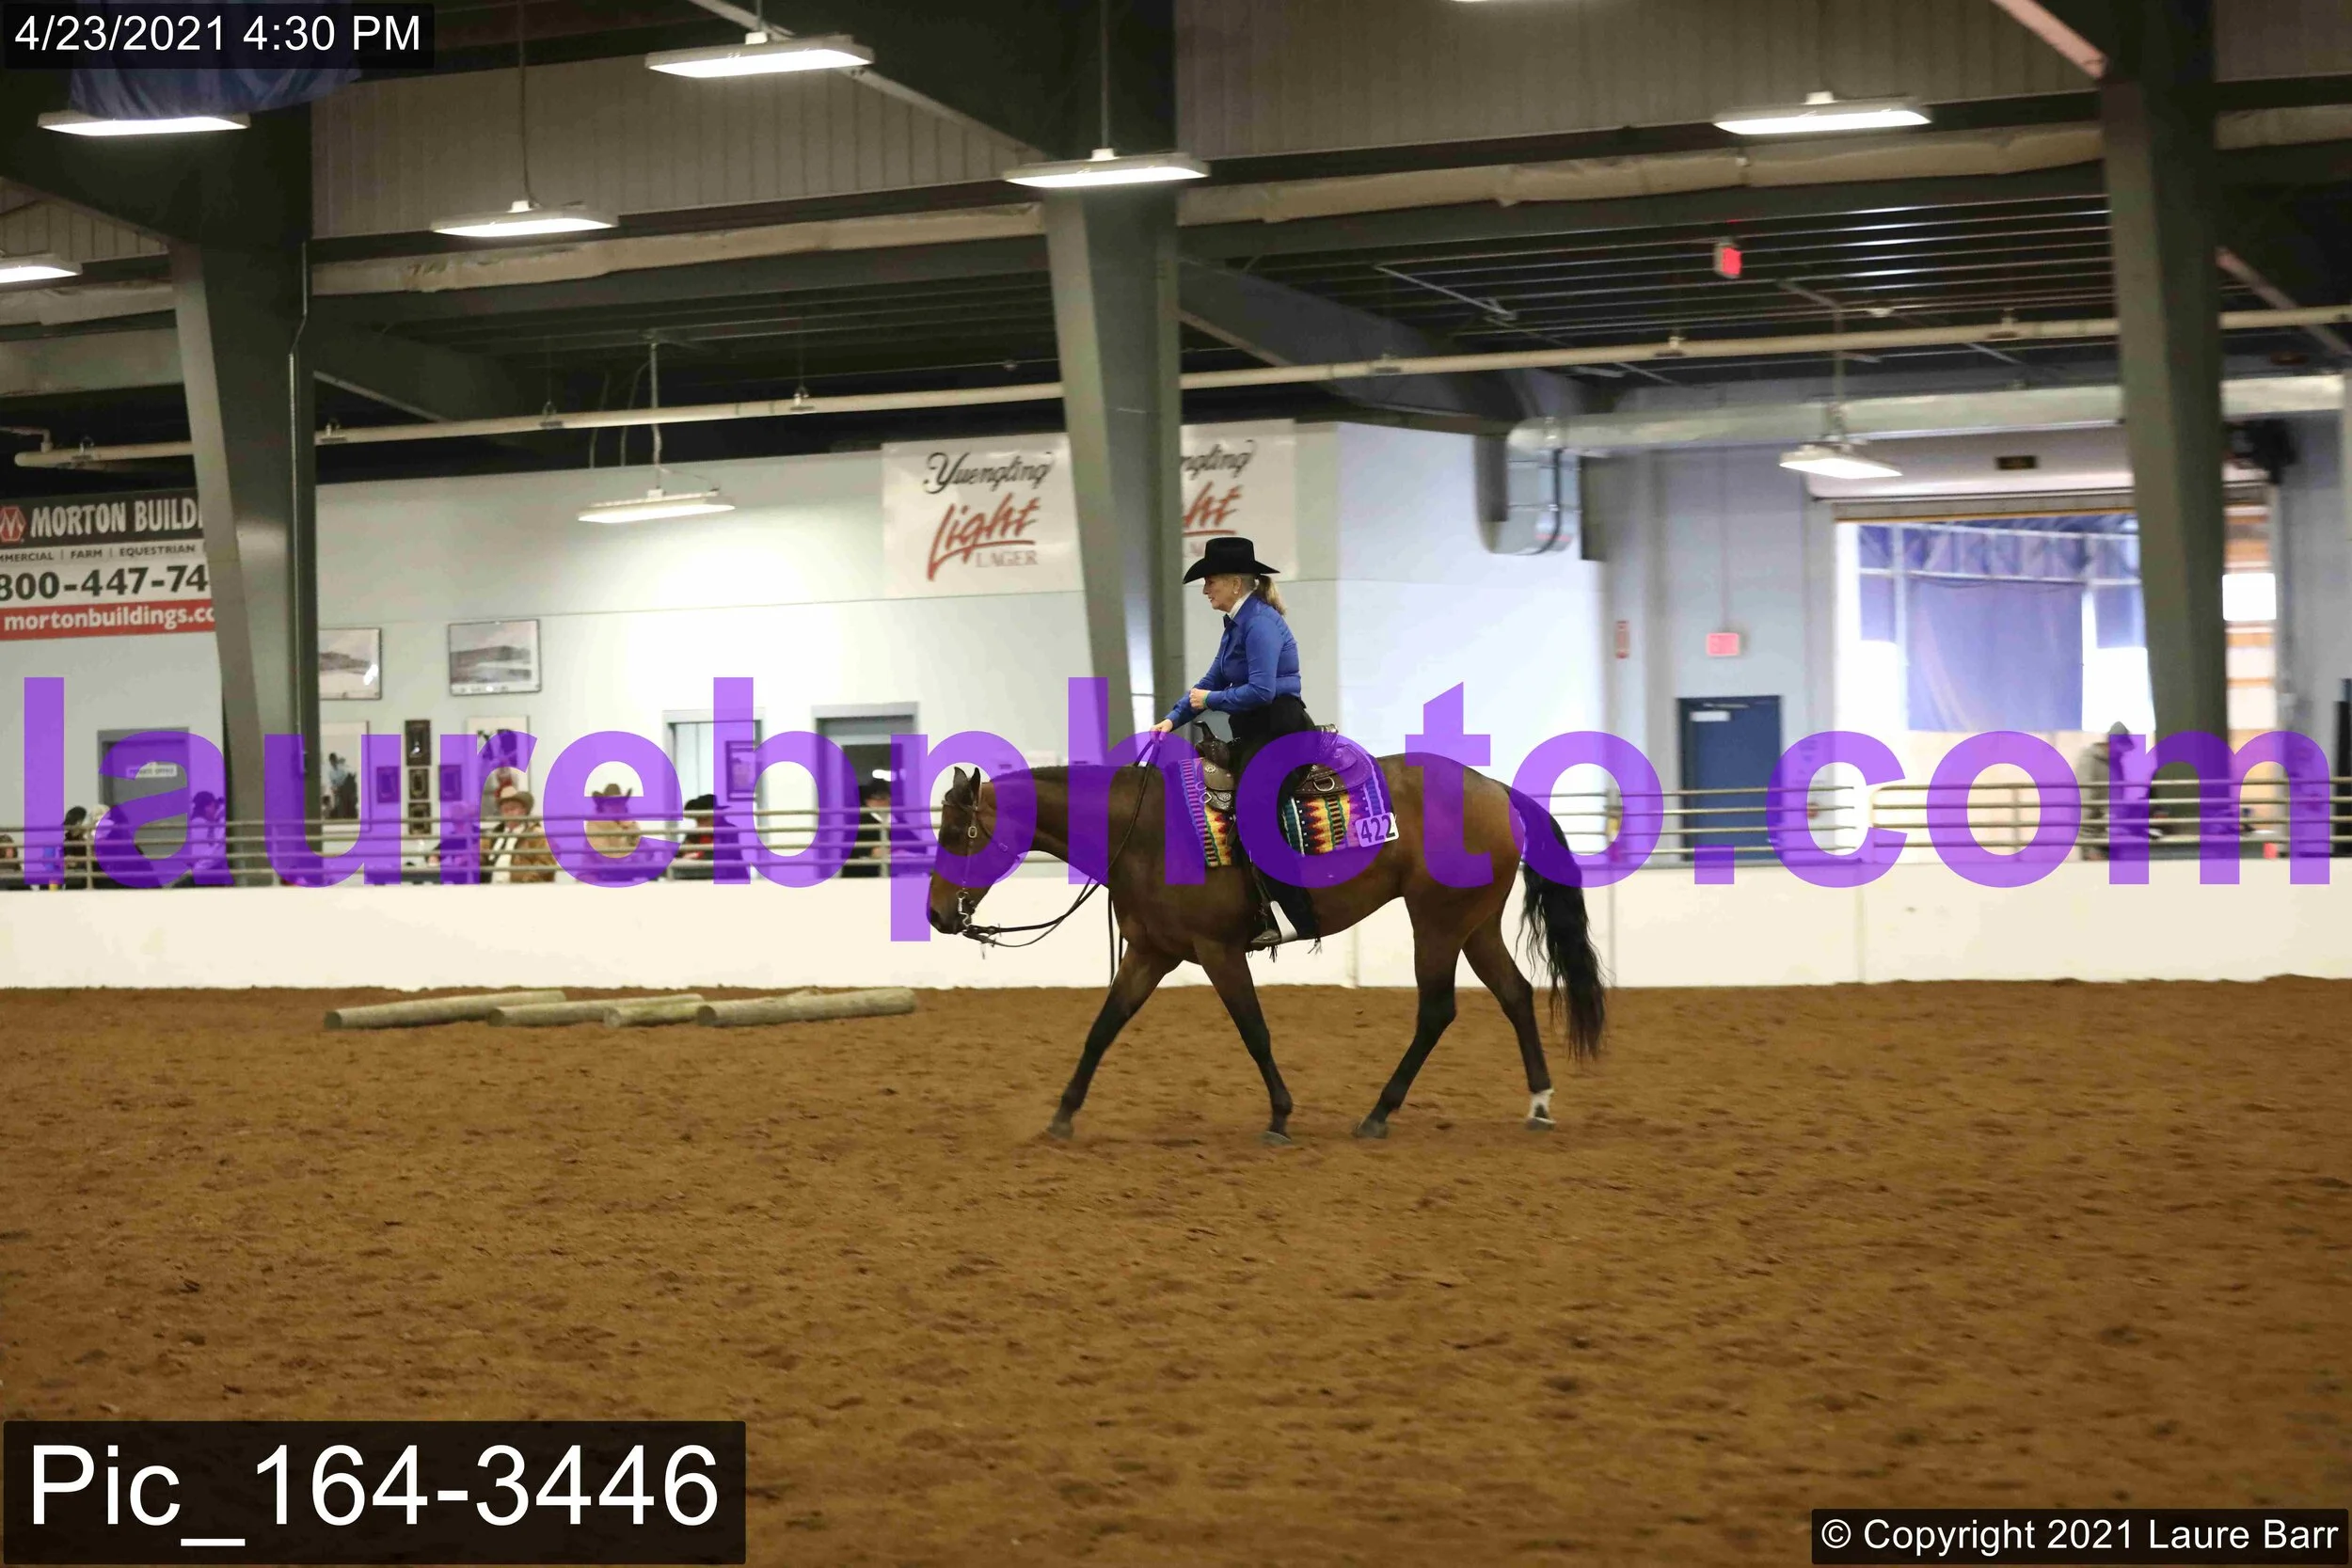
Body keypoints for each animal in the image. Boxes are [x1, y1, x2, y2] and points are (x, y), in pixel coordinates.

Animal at [926, 747, 1606, 1146]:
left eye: (960, 833)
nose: (934, 914)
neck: (1144, 831)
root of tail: (1495, 789)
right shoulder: (1150, 954)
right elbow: (1102, 1030)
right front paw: (1062, 1116)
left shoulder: (1218, 951)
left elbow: (1254, 1030)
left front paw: (1280, 1115)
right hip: (1474, 924)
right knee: (1515, 994)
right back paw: (1538, 1104)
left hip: (1437, 923)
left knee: (1437, 1011)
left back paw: (1378, 1114)